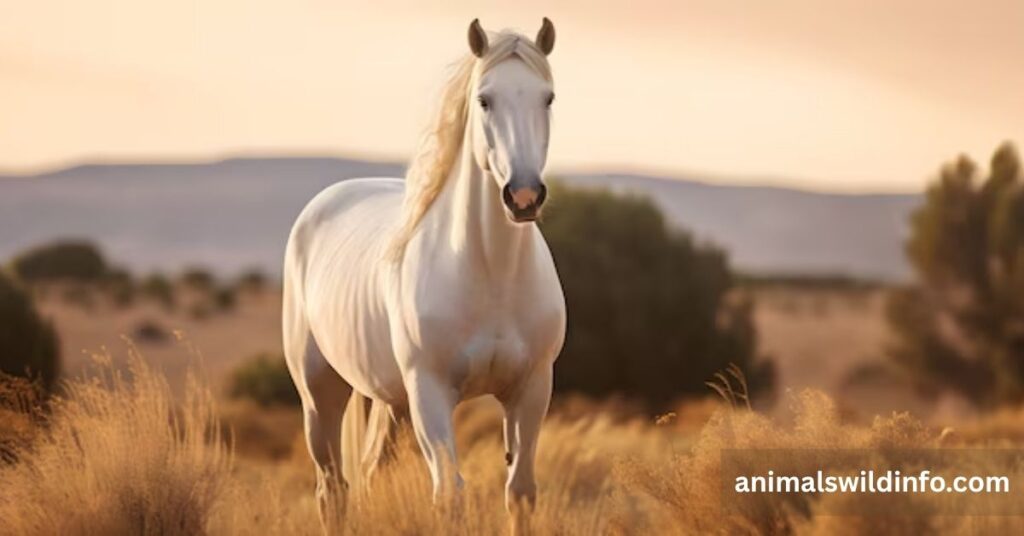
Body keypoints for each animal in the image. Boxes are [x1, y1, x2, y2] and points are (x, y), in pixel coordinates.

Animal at [282, 18, 566, 528]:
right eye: (484, 100)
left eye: (547, 97)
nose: (524, 196)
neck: (491, 274)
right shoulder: (429, 392)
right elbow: (449, 495)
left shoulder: (531, 389)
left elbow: (520, 492)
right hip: (320, 394)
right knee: (332, 490)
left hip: (390, 402)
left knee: (368, 473)